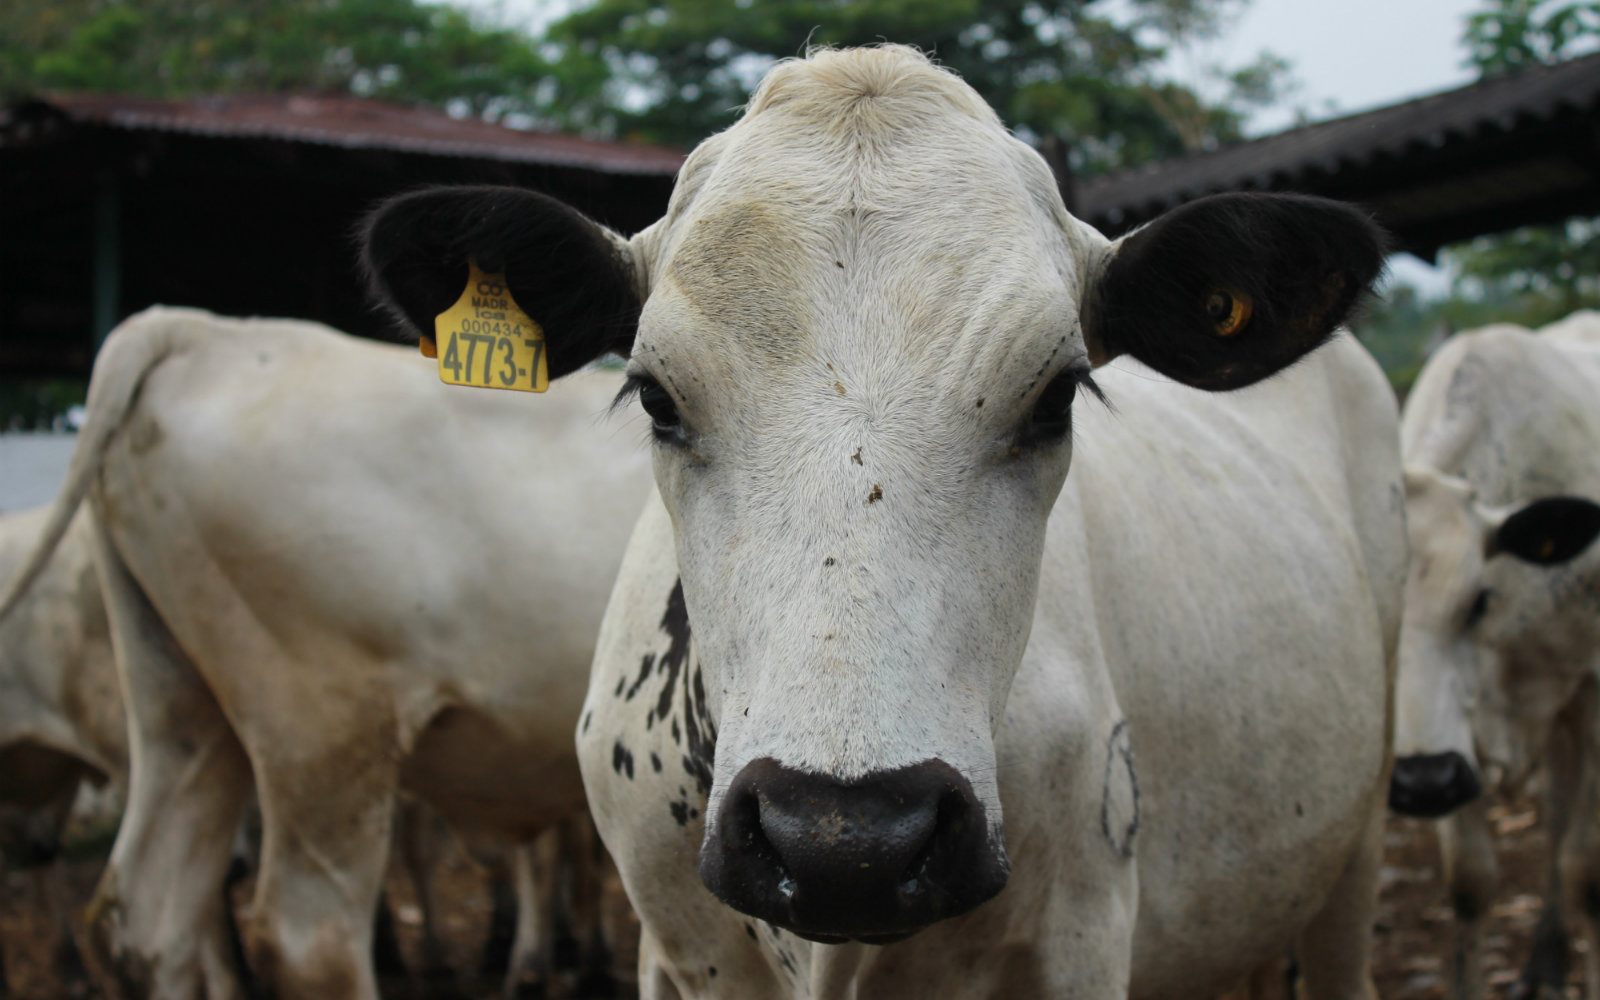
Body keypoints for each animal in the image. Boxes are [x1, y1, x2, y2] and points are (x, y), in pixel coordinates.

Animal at [360, 46, 1401, 998]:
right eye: (656, 396)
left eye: (1056, 396)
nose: (845, 843)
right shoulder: (679, 951)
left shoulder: (1083, 937)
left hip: (1356, 841)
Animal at [1382, 308, 1600, 992]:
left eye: (1479, 601)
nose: (1422, 782)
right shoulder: (1455, 739)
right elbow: (1471, 884)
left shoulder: (1592, 688)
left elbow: (1584, 870)